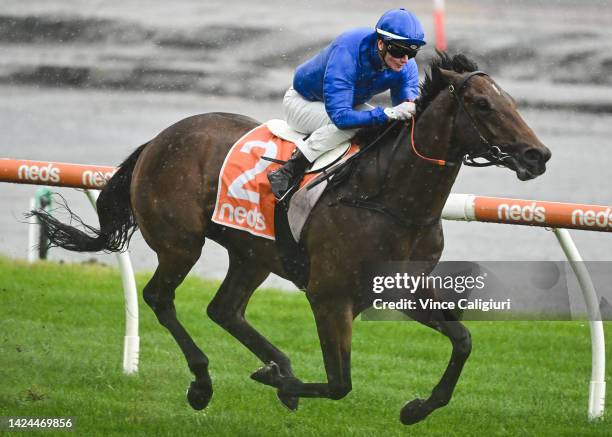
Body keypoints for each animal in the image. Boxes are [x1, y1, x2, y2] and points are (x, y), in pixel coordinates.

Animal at [32, 52, 548, 424]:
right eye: (483, 104)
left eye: (511, 100)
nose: (537, 155)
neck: (390, 200)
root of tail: (159, 139)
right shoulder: (329, 297)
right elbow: (340, 384)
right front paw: (278, 384)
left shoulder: (397, 289)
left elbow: (462, 340)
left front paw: (417, 408)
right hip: (182, 243)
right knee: (160, 297)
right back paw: (204, 383)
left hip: (252, 252)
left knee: (224, 310)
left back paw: (277, 363)